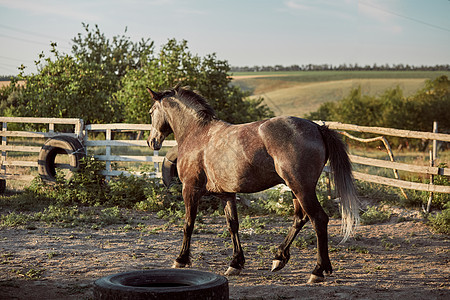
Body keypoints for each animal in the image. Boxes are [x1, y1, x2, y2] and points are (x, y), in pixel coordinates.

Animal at [147, 85, 358, 284]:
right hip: (295, 189)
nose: (151, 141)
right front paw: (235, 263)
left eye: (151, 111)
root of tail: (317, 128)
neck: (197, 133)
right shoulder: (227, 194)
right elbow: (233, 225)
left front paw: (181, 259)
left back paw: (318, 270)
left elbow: (188, 224)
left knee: (318, 219)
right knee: (300, 218)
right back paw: (279, 258)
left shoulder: (190, 190)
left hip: (301, 188)